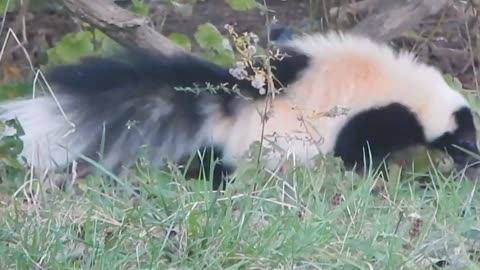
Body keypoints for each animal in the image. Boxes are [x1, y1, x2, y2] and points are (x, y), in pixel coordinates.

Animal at [0, 29, 480, 189]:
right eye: (465, 139)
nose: (474, 161)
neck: (413, 94)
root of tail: (232, 106)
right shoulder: (368, 119)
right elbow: (359, 153)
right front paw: (378, 175)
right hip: (262, 149)